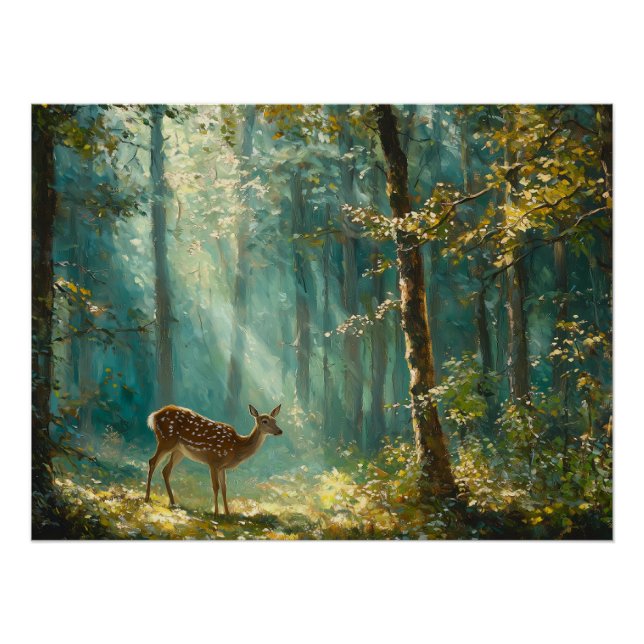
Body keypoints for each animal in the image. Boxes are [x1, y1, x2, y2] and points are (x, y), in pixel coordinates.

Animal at [144, 403, 283, 516]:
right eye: (264, 421)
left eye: (275, 420)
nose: (280, 431)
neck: (236, 447)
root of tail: (154, 415)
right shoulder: (213, 460)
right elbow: (216, 487)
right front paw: (216, 513)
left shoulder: (222, 467)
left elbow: (225, 488)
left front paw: (227, 513)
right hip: (166, 440)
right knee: (152, 462)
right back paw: (147, 498)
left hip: (179, 450)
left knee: (165, 470)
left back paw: (173, 503)